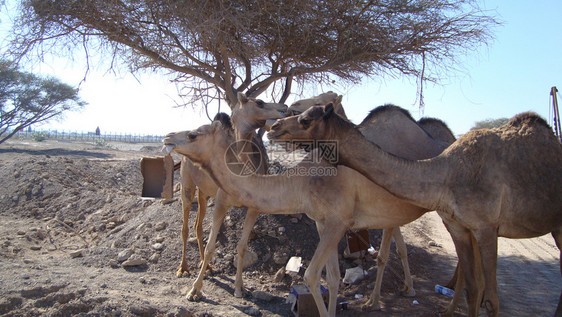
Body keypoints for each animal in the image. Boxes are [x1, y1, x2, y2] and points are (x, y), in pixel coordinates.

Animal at [164, 117, 436, 314]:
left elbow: (312, 276)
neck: (303, 181)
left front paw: (195, 291)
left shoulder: (339, 221)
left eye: (192, 134)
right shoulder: (323, 223)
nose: (167, 137)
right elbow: (333, 278)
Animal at [172, 92, 286, 298]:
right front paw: (195, 290)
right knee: (185, 226)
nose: (285, 107)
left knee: (198, 225)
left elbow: (242, 247)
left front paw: (240, 288)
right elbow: (211, 246)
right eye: (259, 102)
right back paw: (183, 269)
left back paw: (208, 267)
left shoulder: (253, 208)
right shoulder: (221, 203)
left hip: (204, 192)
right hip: (187, 184)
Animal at [268, 102, 560, 314]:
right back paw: (449, 306)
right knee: (468, 272)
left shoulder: (485, 227)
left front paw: (377, 300)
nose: (274, 127)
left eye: (306, 119)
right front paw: (394, 292)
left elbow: (385, 254)